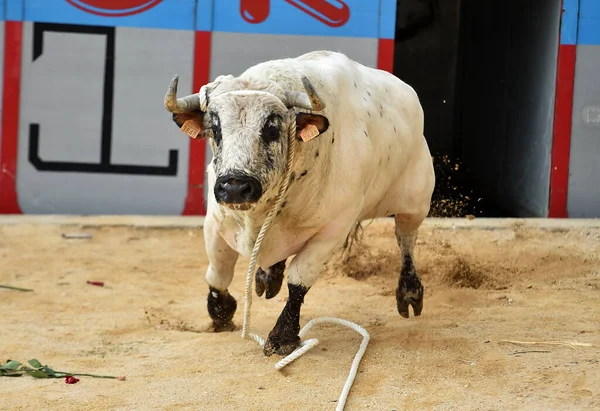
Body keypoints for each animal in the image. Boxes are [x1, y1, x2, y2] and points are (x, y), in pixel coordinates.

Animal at [165, 50, 436, 356]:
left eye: (272, 127)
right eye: (215, 128)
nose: (234, 187)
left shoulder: (332, 231)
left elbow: (299, 280)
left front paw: (283, 335)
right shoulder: (215, 222)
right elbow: (219, 272)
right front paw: (221, 312)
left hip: (416, 200)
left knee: (406, 239)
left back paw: (410, 292)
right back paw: (267, 276)